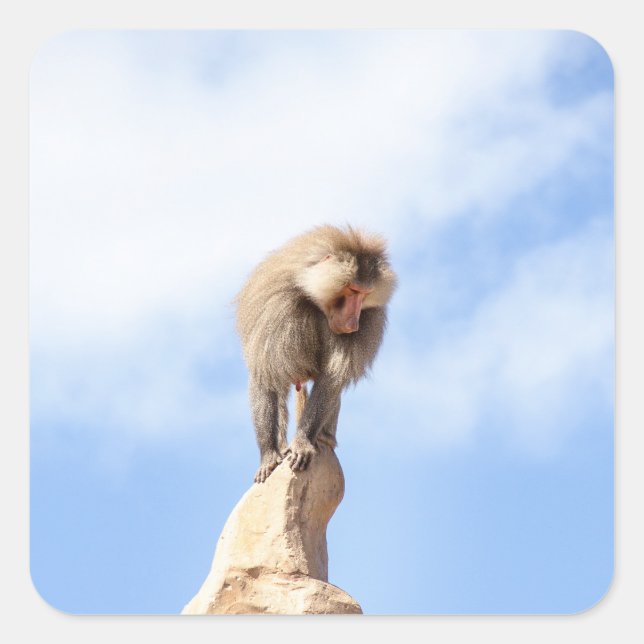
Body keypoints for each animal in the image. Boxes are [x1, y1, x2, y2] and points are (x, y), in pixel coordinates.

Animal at [235, 225, 397, 483]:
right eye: (353, 290)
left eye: (365, 294)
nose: (354, 324)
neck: (312, 295)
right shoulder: (275, 310)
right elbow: (265, 375)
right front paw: (268, 456)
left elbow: (332, 379)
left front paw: (302, 443)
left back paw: (323, 439)